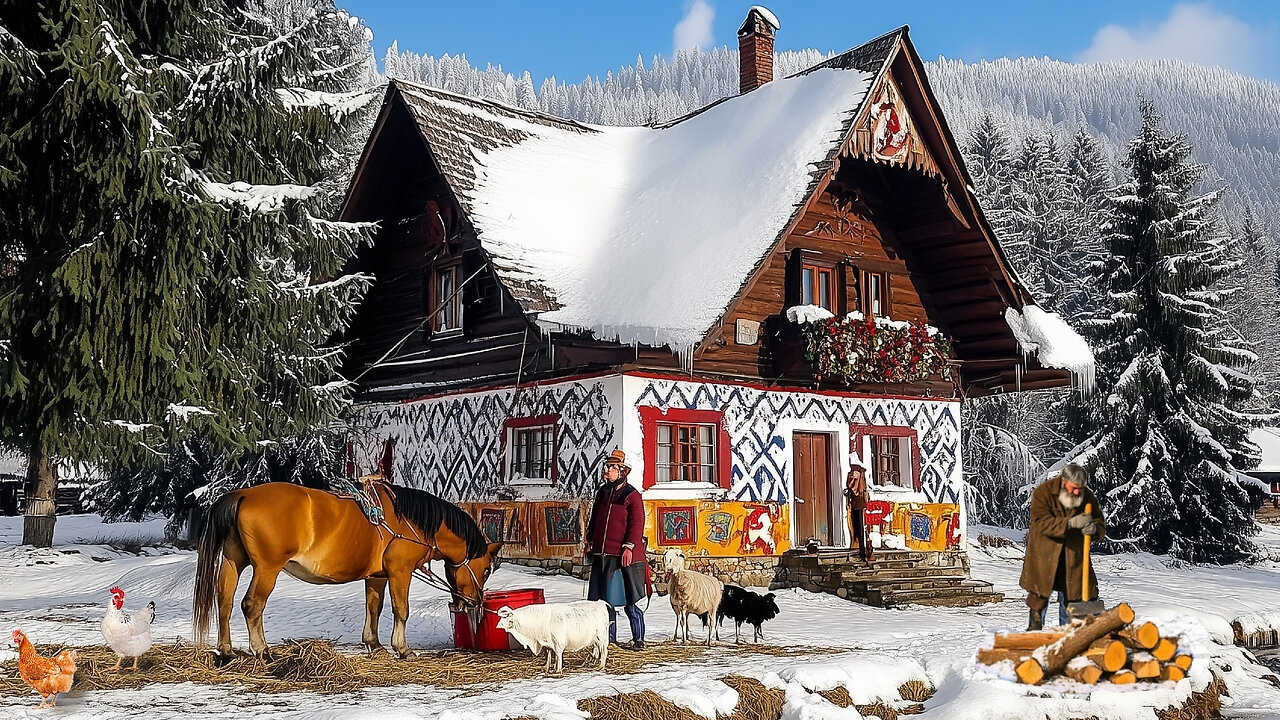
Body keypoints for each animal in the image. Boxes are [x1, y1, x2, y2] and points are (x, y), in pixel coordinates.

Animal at [189, 481, 499, 655]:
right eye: (485, 570)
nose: (476, 601)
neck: (410, 521)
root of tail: (241, 495)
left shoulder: (377, 577)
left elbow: (374, 608)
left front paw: (374, 644)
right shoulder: (400, 572)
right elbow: (401, 610)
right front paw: (401, 648)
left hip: (233, 562)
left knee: (225, 602)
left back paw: (227, 649)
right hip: (267, 568)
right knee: (252, 605)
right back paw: (262, 650)